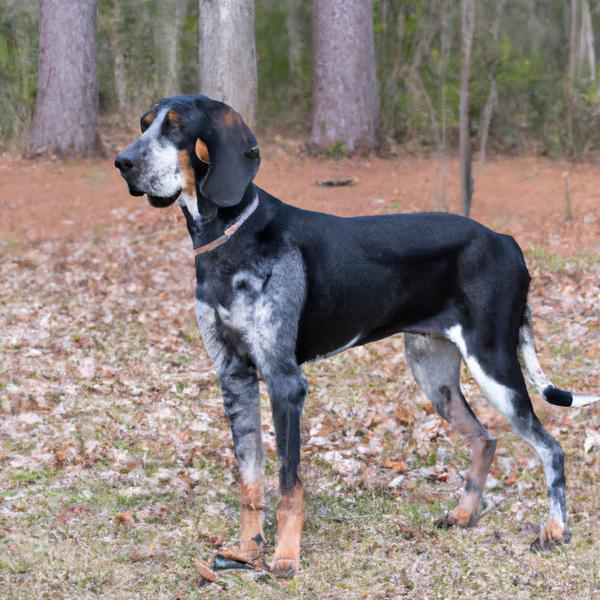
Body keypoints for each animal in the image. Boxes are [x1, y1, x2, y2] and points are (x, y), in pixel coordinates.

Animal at [115, 94, 596, 576]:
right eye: (143, 124)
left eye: (175, 127)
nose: (122, 163)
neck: (229, 237)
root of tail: (506, 240)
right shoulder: (234, 379)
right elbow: (250, 481)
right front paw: (247, 552)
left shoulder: (285, 382)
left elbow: (288, 484)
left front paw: (285, 556)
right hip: (433, 374)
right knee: (485, 438)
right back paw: (463, 514)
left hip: (494, 365)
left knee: (551, 448)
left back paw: (555, 530)